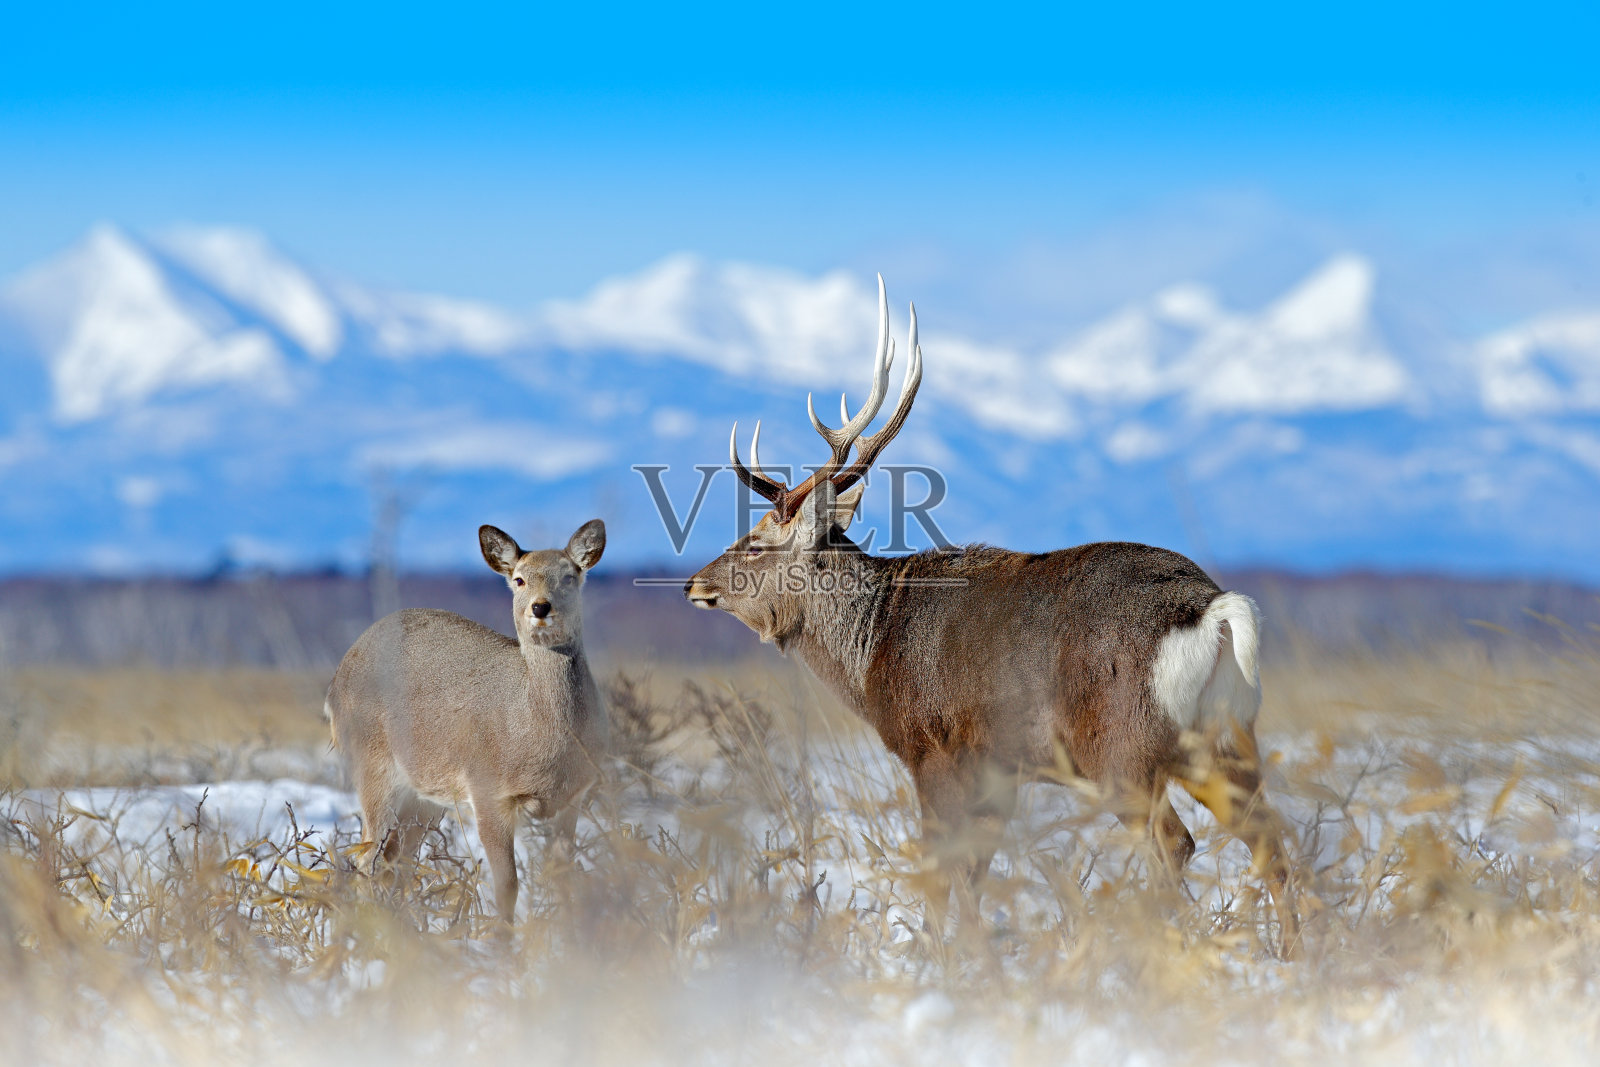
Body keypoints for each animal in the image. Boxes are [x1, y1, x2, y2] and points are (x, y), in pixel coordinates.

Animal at [326, 520, 609, 922]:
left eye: (570, 576)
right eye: (519, 579)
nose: (541, 606)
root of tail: (338, 676)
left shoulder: (572, 799)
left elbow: (566, 884)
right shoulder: (487, 788)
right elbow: (506, 887)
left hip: (423, 795)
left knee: (396, 861)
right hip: (371, 765)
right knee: (367, 859)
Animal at [684, 277, 1298, 953]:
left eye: (757, 542)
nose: (694, 584)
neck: (873, 649)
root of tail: (1214, 608)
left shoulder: (934, 750)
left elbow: (942, 870)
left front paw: (943, 956)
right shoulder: (1001, 772)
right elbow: (974, 872)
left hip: (1122, 749)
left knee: (1177, 844)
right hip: (1224, 742)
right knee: (1271, 839)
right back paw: (1297, 952)